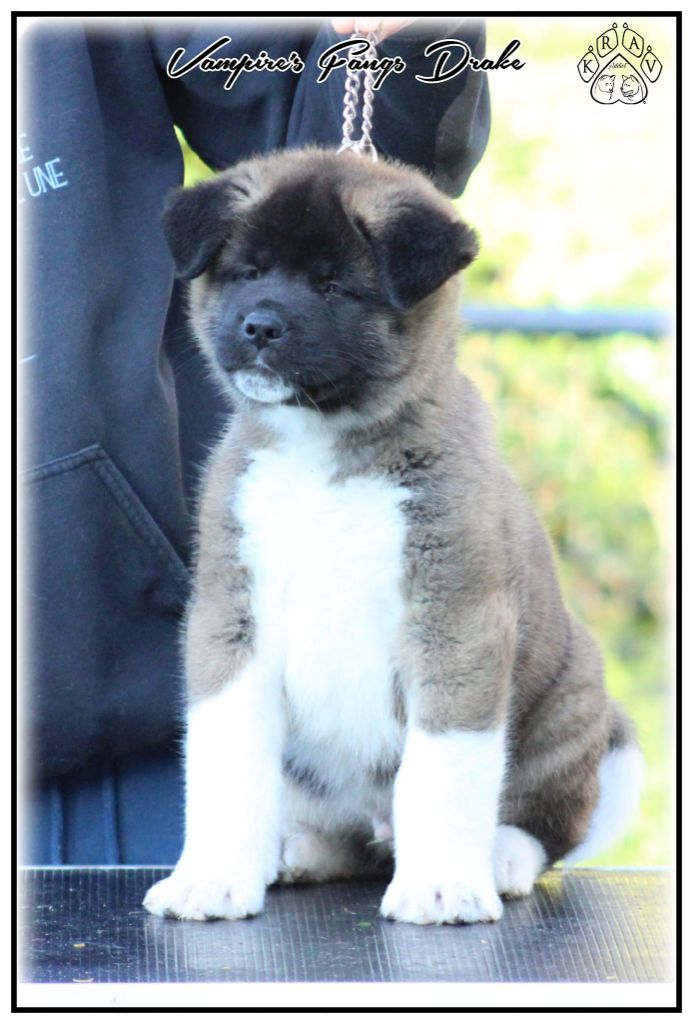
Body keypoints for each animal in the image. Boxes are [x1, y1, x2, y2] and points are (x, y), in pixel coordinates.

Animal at [143, 148, 643, 925]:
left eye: (333, 287)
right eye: (249, 272)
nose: (259, 327)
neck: (324, 450)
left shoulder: (455, 622)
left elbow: (443, 765)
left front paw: (439, 884)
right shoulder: (229, 620)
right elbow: (225, 758)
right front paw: (215, 875)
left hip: (571, 705)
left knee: (546, 823)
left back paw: (498, 856)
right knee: (345, 836)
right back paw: (297, 849)